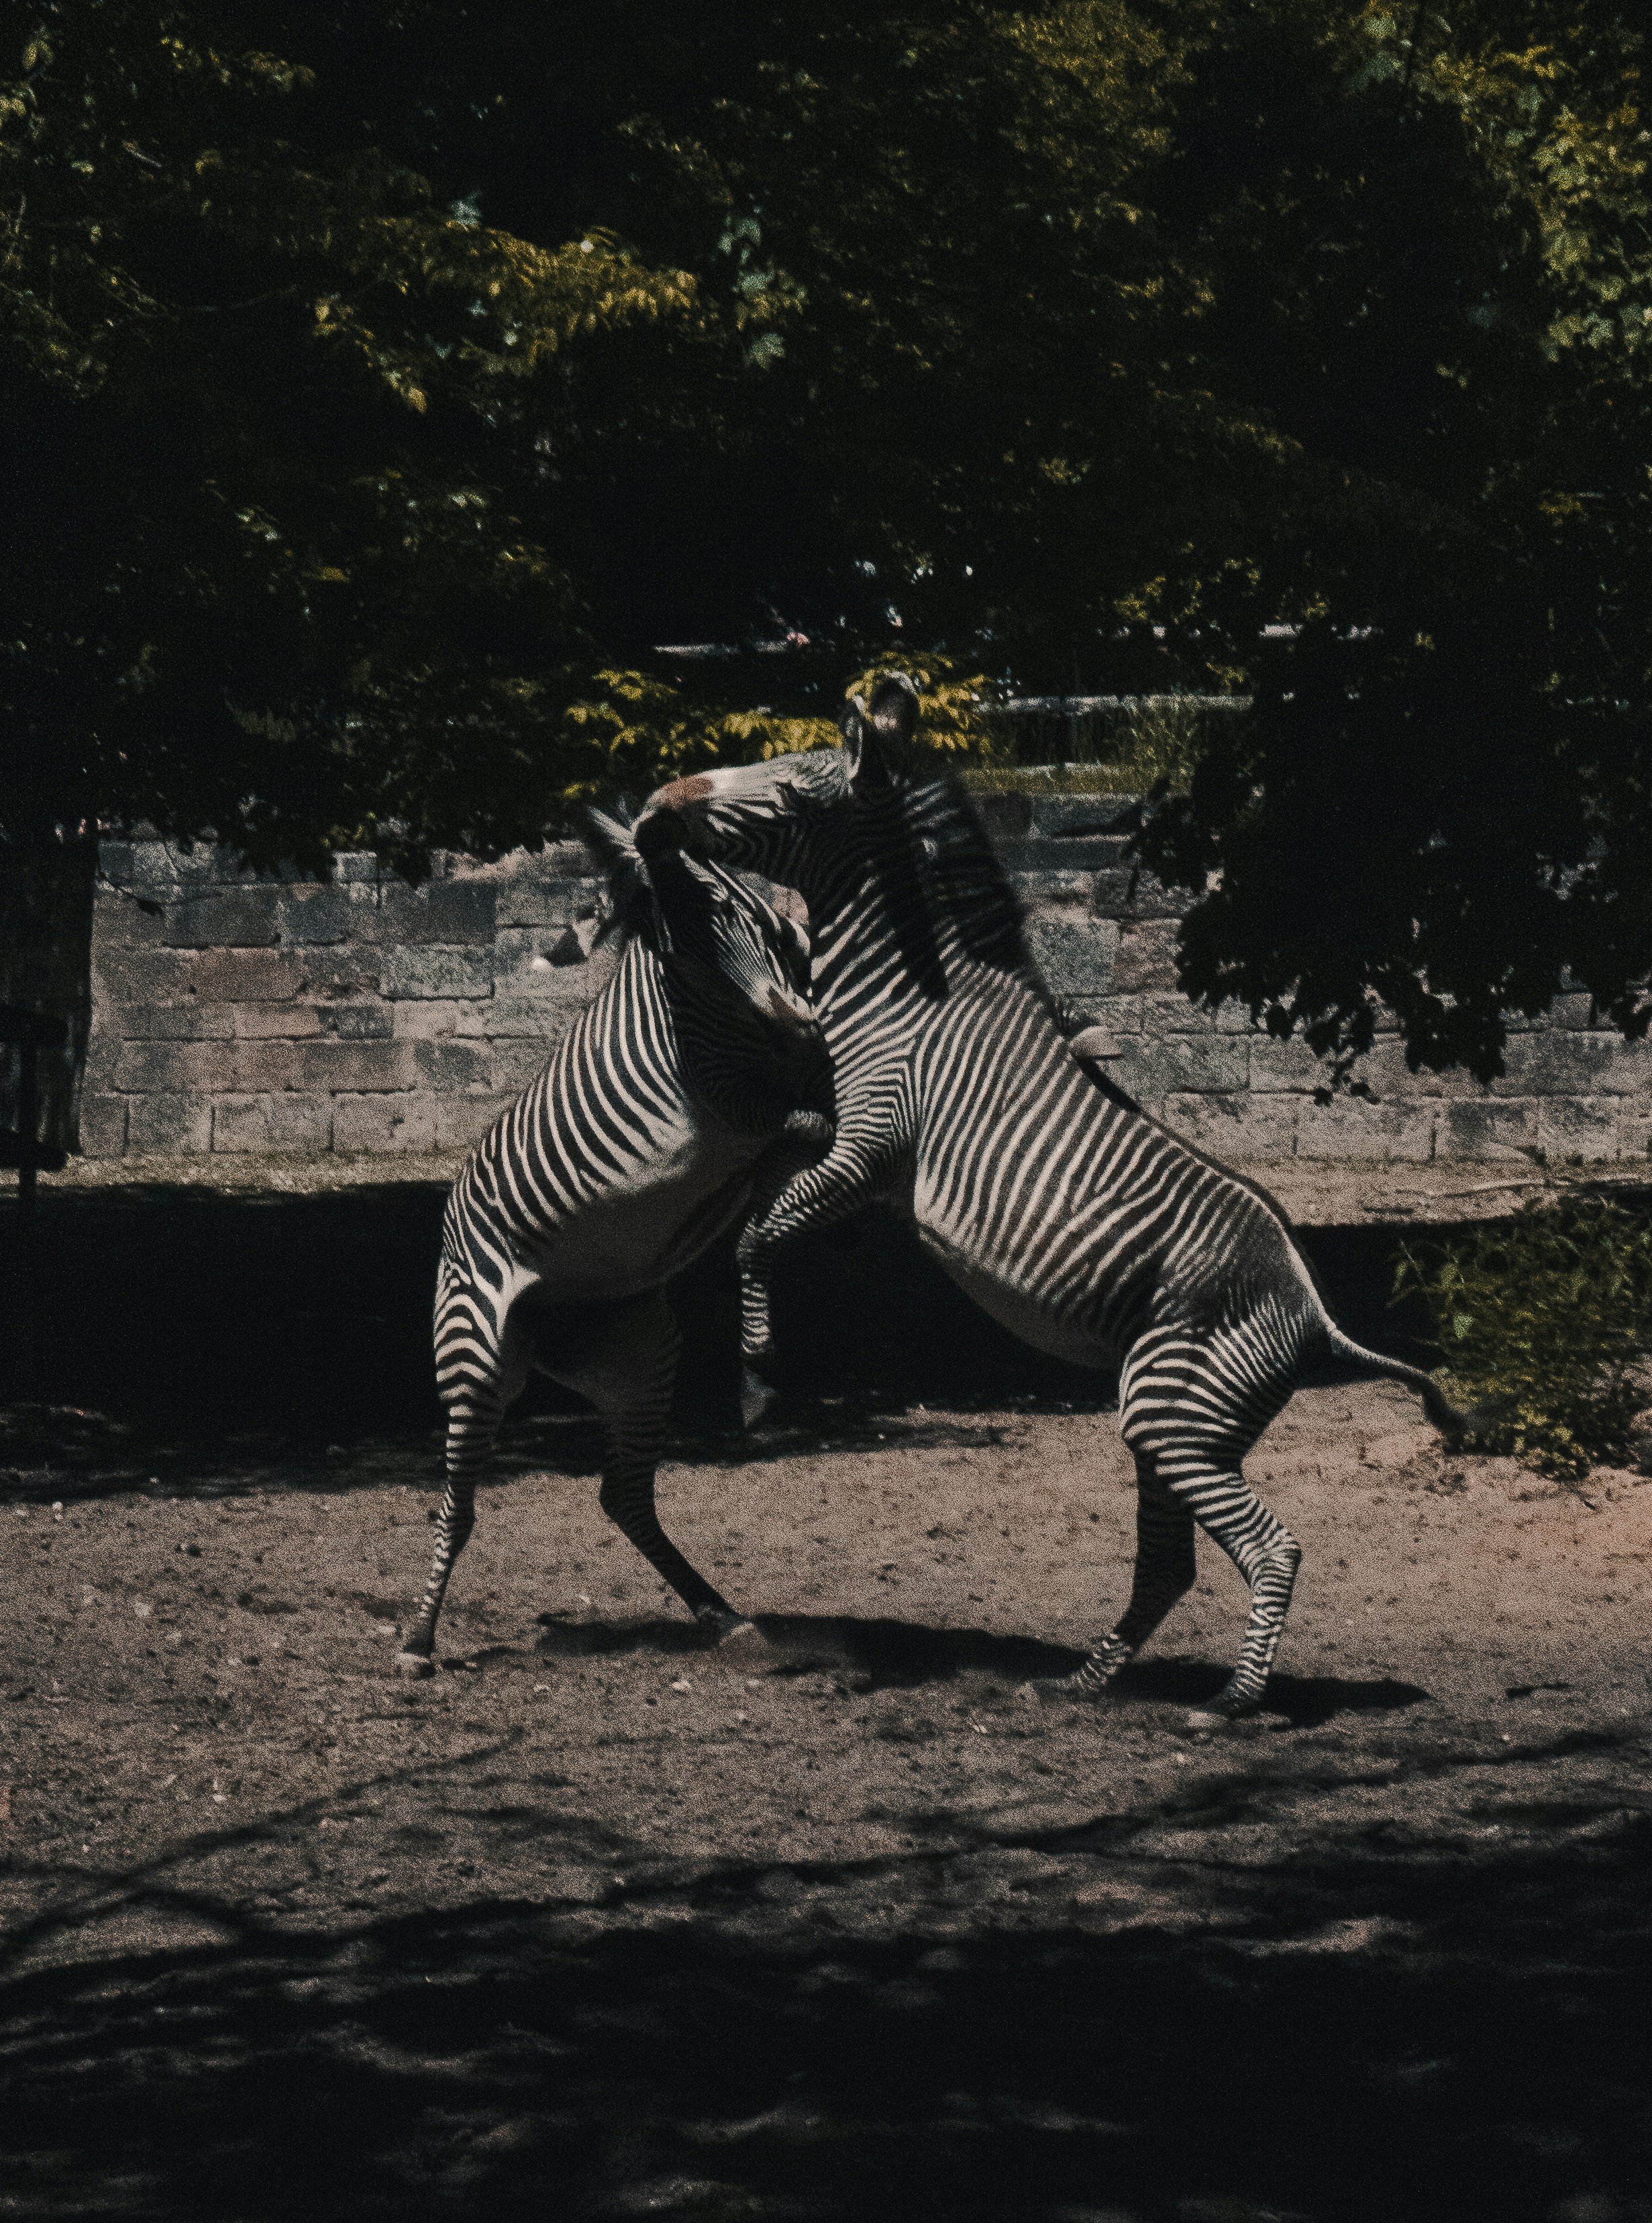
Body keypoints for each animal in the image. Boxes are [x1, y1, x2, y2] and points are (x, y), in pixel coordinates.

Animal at [396, 808, 833, 1677]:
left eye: (725, 905)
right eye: (677, 932)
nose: (793, 1018)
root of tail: (543, 1334)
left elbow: (788, 1167)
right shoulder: (734, 1108)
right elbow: (804, 1129)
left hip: (638, 1354)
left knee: (622, 1495)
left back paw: (724, 1616)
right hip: (475, 1352)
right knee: (457, 1504)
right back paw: (417, 1641)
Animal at [636, 675, 1465, 1722]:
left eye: (787, 786)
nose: (656, 804)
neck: (903, 1002)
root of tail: (1318, 1317)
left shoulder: (872, 1146)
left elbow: (756, 1234)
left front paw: (753, 1382)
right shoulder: (850, 1149)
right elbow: (766, 1191)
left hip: (1175, 1413)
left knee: (1270, 1547)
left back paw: (1231, 1702)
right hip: (1176, 1418)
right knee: (1168, 1566)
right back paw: (1082, 1682)